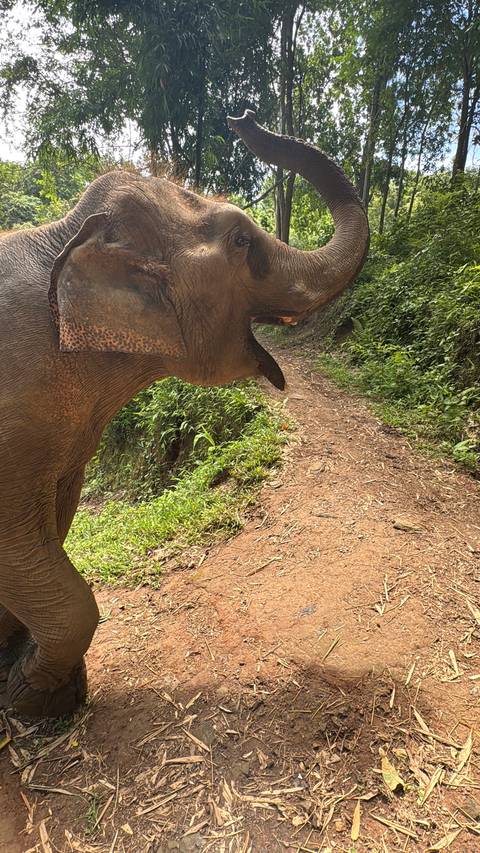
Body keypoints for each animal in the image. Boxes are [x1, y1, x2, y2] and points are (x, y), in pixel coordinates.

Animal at [0, 110, 369, 719]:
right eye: (241, 240)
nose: (244, 118)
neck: (65, 235)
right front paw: (30, 697)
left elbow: (53, 519)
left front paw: (27, 675)